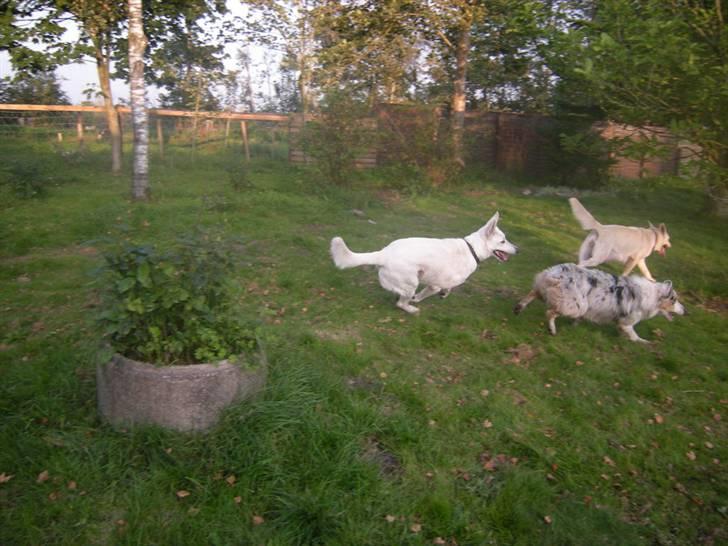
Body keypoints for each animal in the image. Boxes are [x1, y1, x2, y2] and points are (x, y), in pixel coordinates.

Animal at [330, 212, 516, 314]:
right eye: (503, 241)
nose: (518, 249)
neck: (472, 248)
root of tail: (383, 253)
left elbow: (448, 289)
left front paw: (444, 294)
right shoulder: (435, 285)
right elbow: (424, 295)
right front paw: (419, 300)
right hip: (411, 282)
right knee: (401, 303)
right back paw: (411, 309)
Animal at [512, 262, 684, 340]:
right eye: (674, 300)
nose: (686, 311)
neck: (652, 295)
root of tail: (555, 274)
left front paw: (575, 325)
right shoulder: (627, 323)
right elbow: (635, 337)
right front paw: (646, 344)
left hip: (543, 289)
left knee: (531, 294)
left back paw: (519, 308)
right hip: (574, 305)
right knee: (550, 312)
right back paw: (552, 329)